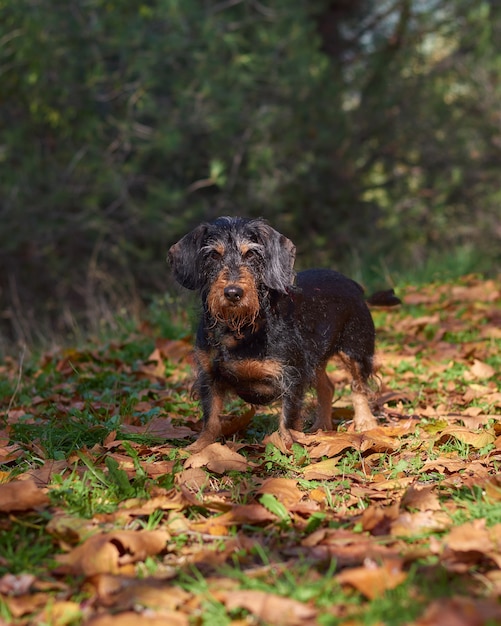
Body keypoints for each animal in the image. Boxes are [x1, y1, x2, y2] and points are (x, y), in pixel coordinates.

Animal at [168, 216, 398, 448]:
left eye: (251, 254)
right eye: (214, 255)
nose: (233, 293)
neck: (239, 328)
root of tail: (354, 285)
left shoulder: (292, 377)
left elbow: (288, 421)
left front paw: (287, 447)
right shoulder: (209, 376)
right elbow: (211, 419)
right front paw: (198, 448)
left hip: (355, 350)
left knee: (358, 387)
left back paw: (365, 423)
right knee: (328, 387)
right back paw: (321, 427)